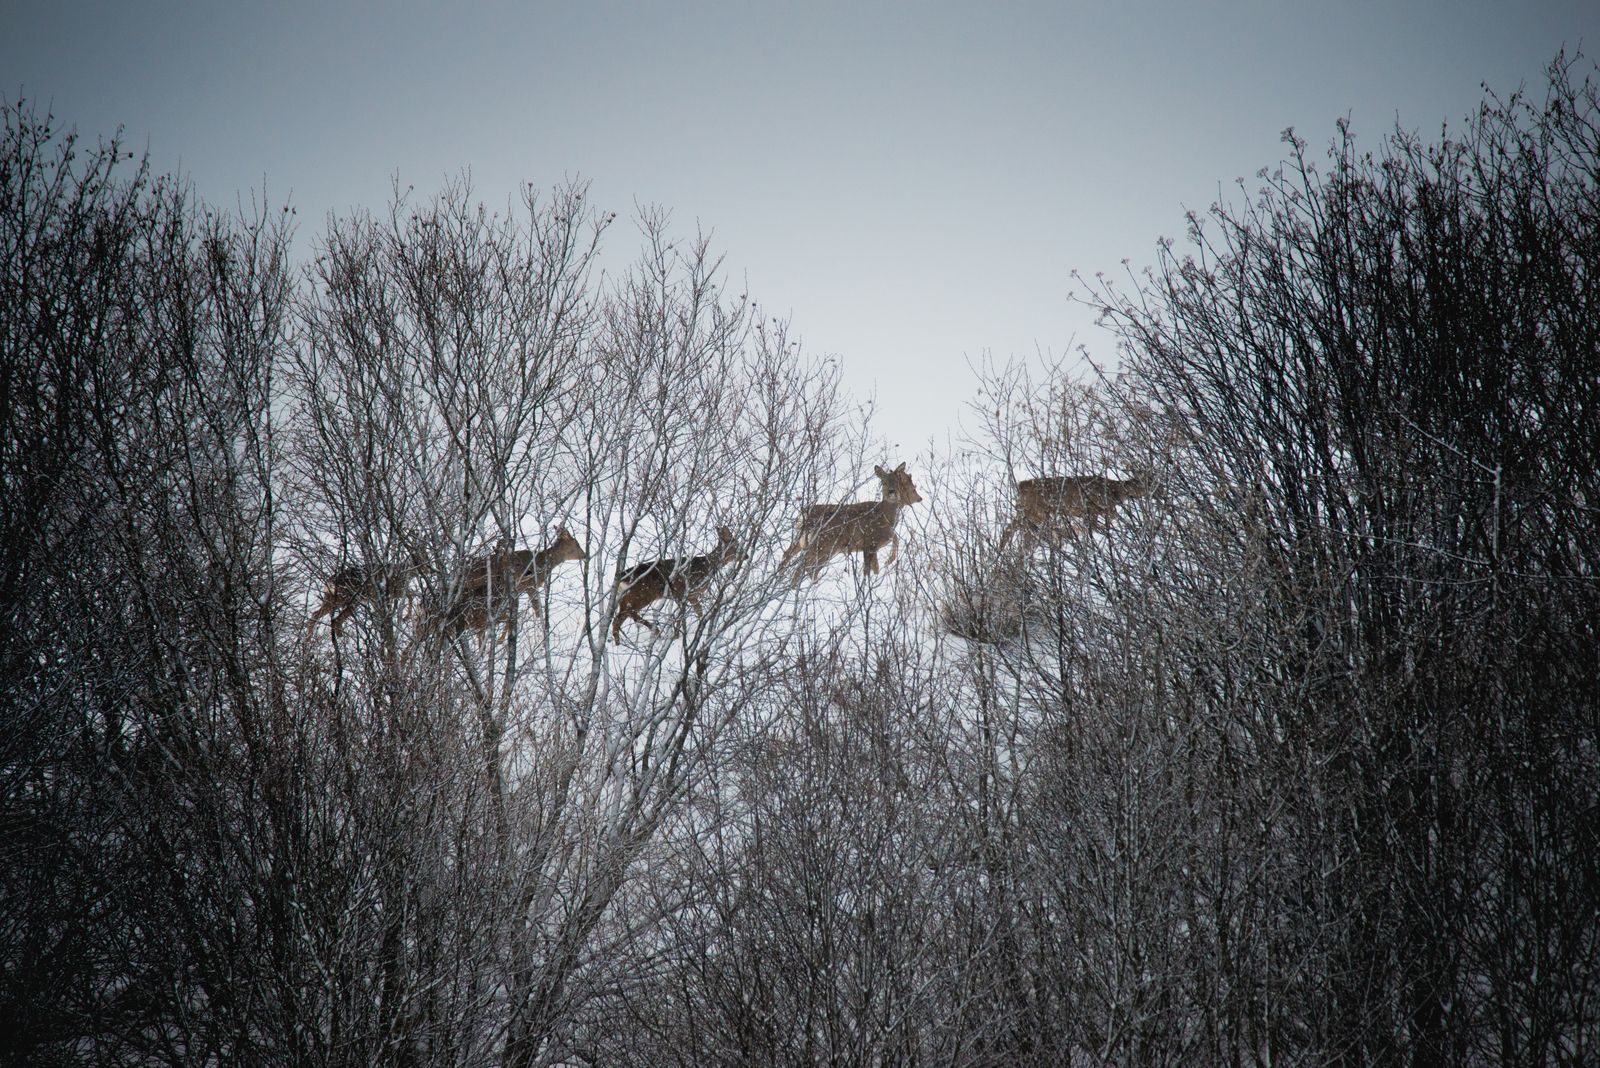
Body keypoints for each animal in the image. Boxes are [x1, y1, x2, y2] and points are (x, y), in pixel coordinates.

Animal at [611, 526, 741, 643]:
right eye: (737, 545)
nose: (744, 556)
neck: (707, 567)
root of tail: (622, 578)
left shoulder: (693, 596)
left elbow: (699, 612)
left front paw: (701, 626)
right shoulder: (684, 593)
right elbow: (681, 616)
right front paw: (676, 636)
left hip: (630, 597)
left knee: (619, 618)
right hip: (641, 595)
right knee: (622, 616)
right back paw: (655, 632)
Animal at [780, 463, 923, 580]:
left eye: (897, 482)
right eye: (884, 482)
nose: (892, 492)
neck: (885, 517)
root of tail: (803, 514)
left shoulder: (871, 545)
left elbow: (874, 568)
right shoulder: (870, 540)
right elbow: (871, 568)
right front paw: (887, 562)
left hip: (805, 542)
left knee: (790, 557)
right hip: (822, 545)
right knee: (804, 567)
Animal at [996, 470, 1150, 552]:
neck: (1115, 492)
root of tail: (1021, 486)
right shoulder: (1092, 508)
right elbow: (1094, 526)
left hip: (1030, 513)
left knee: (1018, 530)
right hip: (1036, 512)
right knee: (1012, 528)